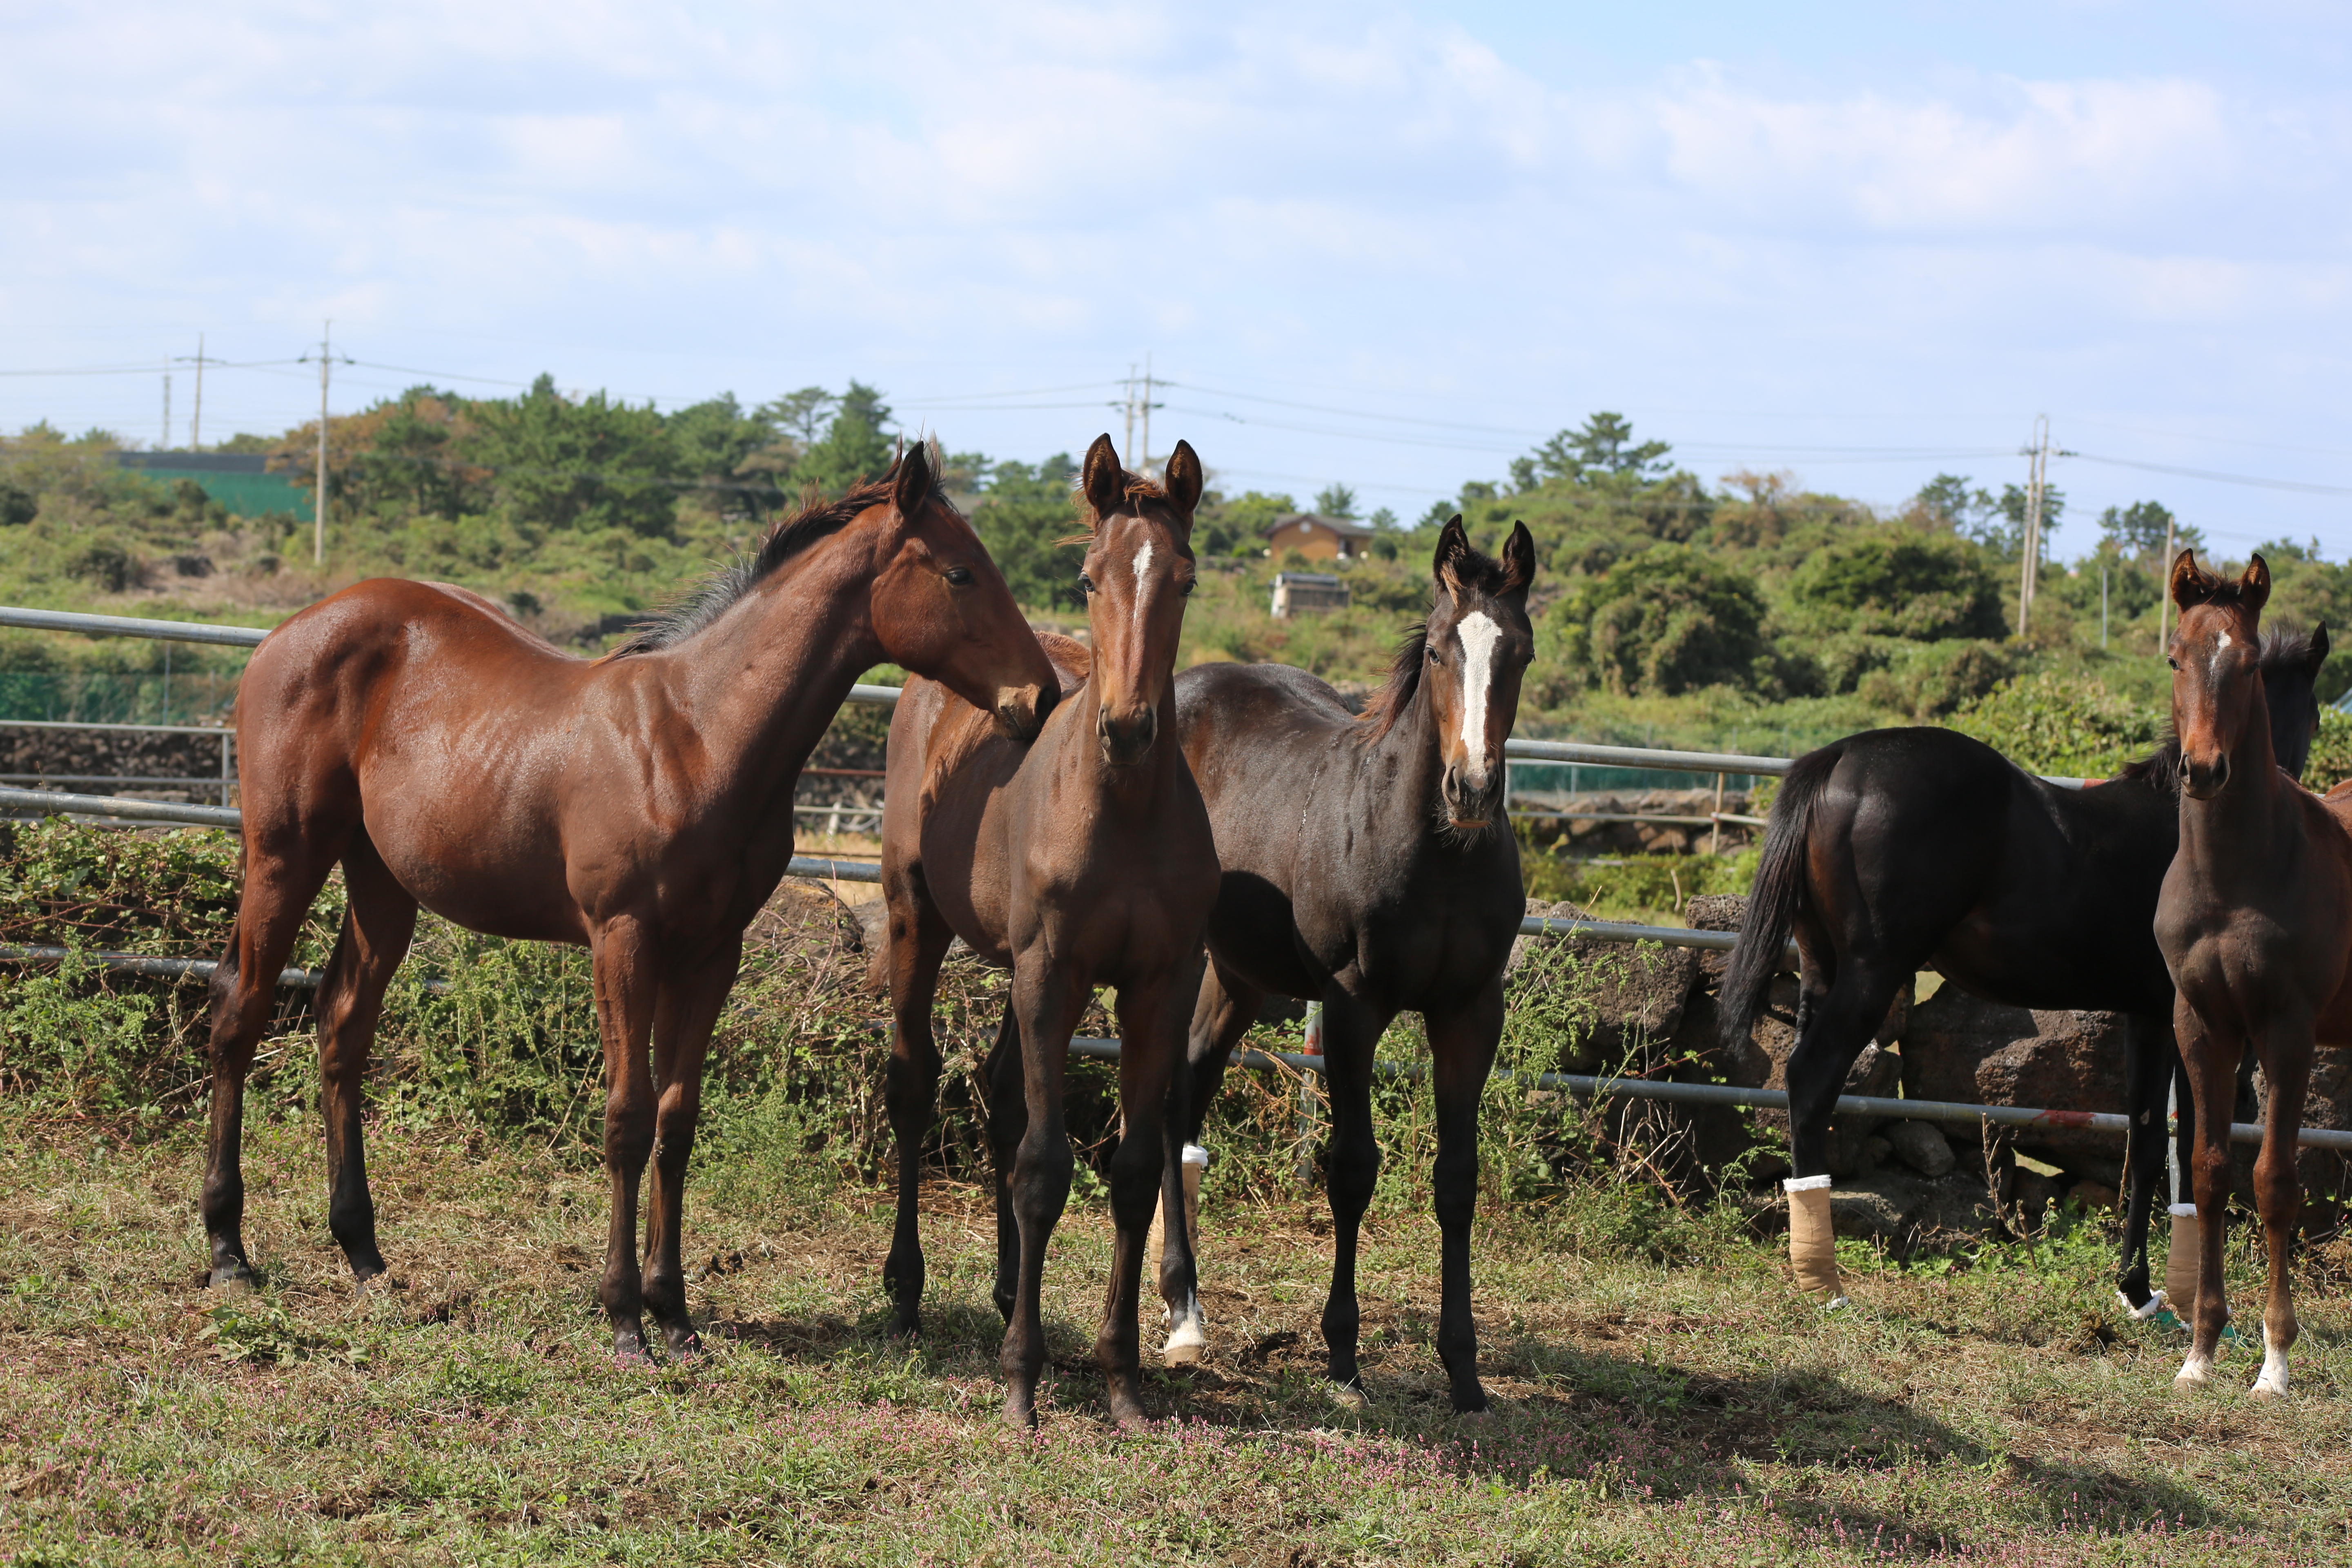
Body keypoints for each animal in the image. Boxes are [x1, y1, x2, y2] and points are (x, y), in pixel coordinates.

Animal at [209, 444, 1058, 1363]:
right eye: (960, 572)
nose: (1042, 698)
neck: (698, 737)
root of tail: (288, 632)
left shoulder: (712, 951)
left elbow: (677, 1121)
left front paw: (674, 1312)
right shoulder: (623, 940)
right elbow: (626, 1117)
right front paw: (623, 1318)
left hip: (382, 883)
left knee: (340, 1026)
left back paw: (363, 1251)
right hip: (284, 856)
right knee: (239, 1015)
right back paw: (228, 1250)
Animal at [875, 435, 1223, 1429]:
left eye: (1184, 578)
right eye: (1088, 576)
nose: (1129, 727)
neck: (1125, 810)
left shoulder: (1158, 984)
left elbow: (1135, 1171)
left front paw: (1123, 1377)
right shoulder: (1053, 972)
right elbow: (1042, 1166)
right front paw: (1022, 1381)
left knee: (999, 1091)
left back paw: (1002, 1292)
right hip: (918, 918)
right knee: (914, 1083)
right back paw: (907, 1294)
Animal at [1162, 522, 1533, 1420]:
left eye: (1521, 652)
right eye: (1437, 650)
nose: (1472, 789)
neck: (1438, 854)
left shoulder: (1471, 1012)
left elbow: (1457, 1179)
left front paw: (1464, 1370)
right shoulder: (1354, 1006)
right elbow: (1354, 1169)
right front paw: (1341, 1357)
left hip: (1240, 977)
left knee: (1188, 1092)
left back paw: (1185, 1310)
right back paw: (1182, 1312)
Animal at [1722, 625, 2323, 1316]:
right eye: (2315, 710)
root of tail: (1841, 755)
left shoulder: (2144, 1017)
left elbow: (2147, 1141)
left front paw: (2141, 1288)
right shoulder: (2182, 1020)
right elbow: (2183, 1143)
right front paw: (2154, 1291)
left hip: (1822, 968)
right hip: (1874, 971)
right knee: (1812, 1078)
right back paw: (1826, 1283)